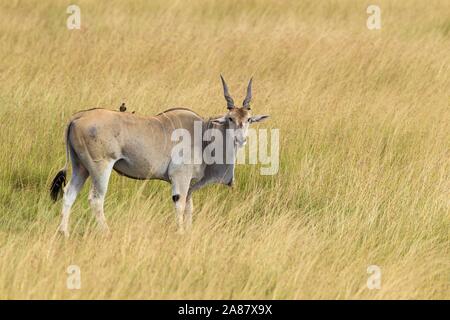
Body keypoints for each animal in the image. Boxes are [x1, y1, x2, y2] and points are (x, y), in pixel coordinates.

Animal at [50, 74, 268, 235]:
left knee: (69, 194)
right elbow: (180, 206)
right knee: (96, 199)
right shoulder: (179, 179)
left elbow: (189, 208)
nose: (241, 139)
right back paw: (107, 233)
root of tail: (78, 116)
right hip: (100, 168)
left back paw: (64, 233)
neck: (204, 133)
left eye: (249, 119)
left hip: (80, 168)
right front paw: (180, 234)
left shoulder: (190, 185)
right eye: (230, 118)